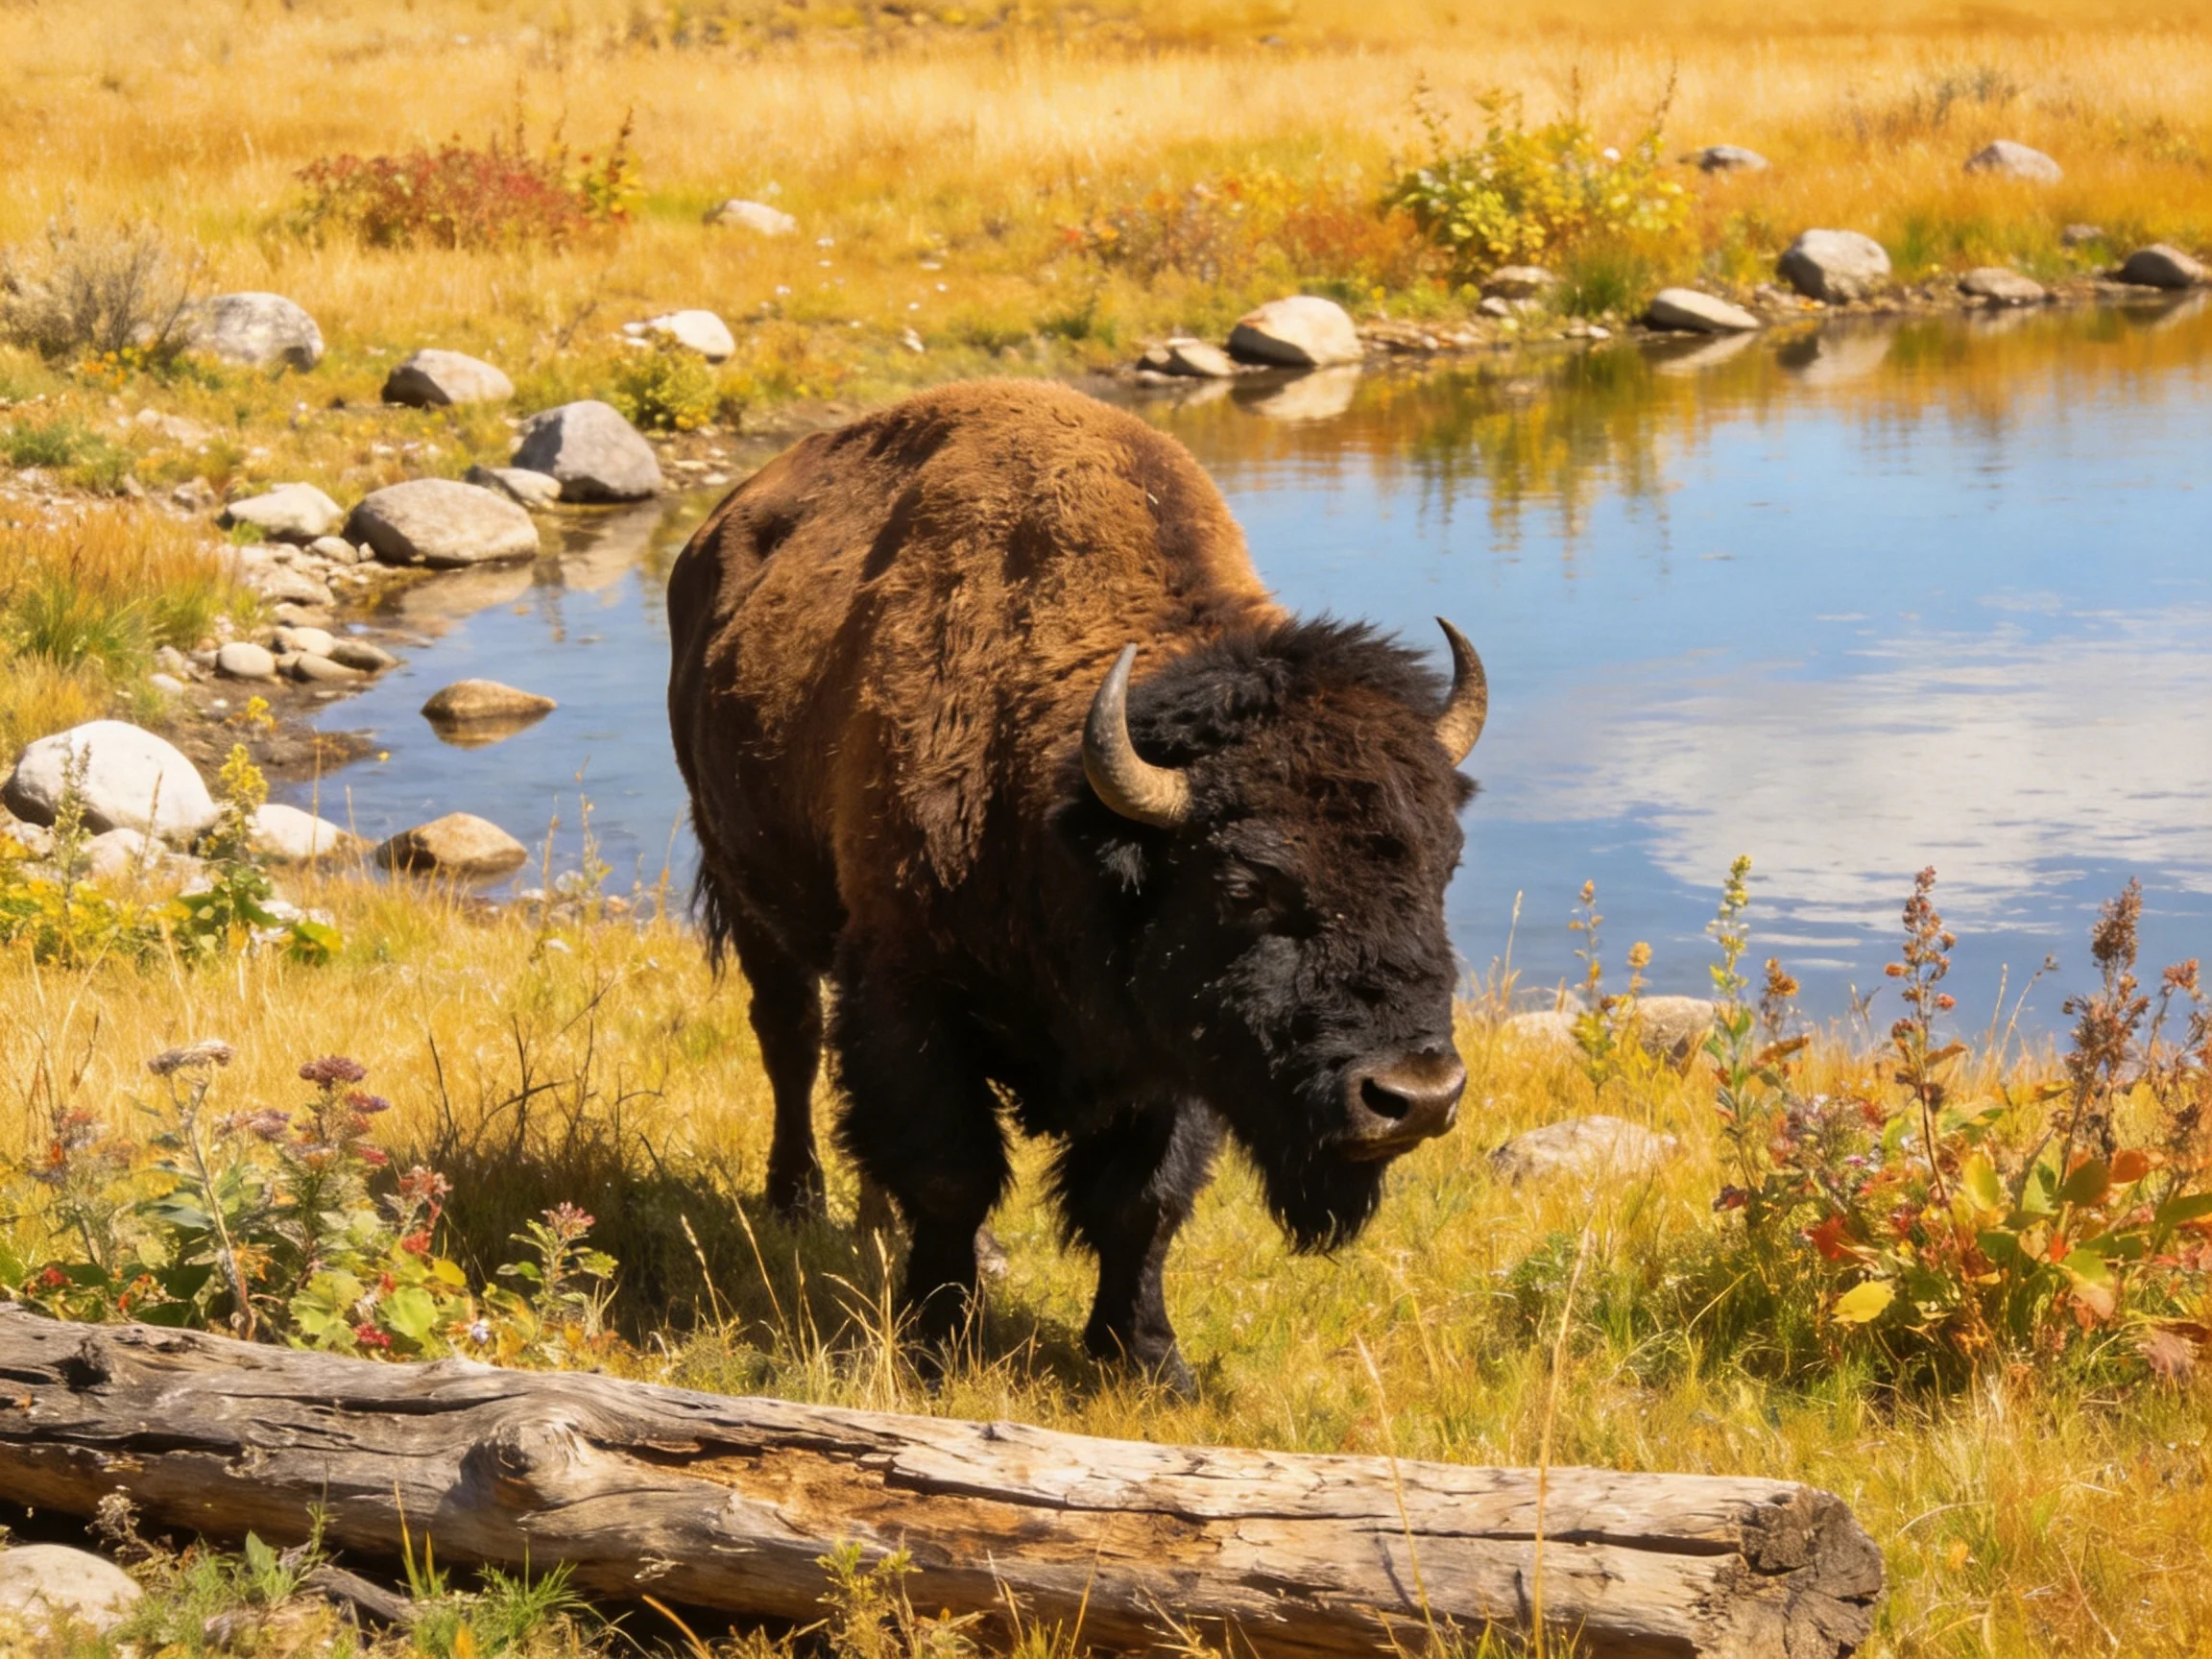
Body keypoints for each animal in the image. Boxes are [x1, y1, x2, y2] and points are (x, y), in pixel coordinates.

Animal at [667, 380, 1485, 1386]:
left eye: (1444, 866)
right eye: (1248, 886)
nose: (1415, 1097)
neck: (1072, 812)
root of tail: (713, 533)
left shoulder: (1161, 1053)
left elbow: (1141, 1202)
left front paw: (1147, 1361)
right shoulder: (907, 991)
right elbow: (951, 1172)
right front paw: (938, 1343)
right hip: (748, 890)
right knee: (790, 1042)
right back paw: (798, 1201)